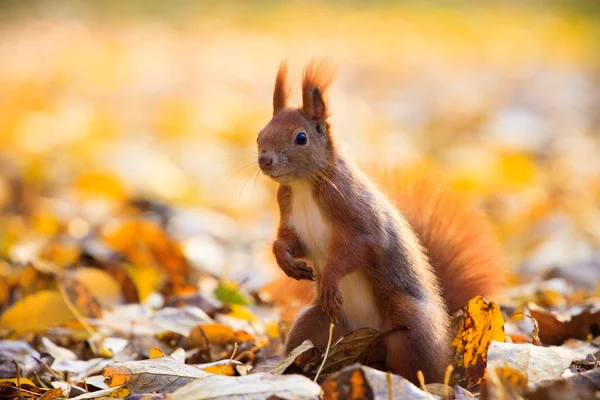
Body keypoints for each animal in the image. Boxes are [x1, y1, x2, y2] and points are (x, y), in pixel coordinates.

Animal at [255, 60, 504, 382]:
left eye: (301, 137)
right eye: (260, 134)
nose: (265, 160)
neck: (304, 185)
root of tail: (368, 341)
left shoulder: (359, 218)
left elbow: (357, 249)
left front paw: (330, 278)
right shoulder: (290, 219)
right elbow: (286, 242)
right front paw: (286, 262)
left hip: (410, 331)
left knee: (421, 369)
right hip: (315, 325)